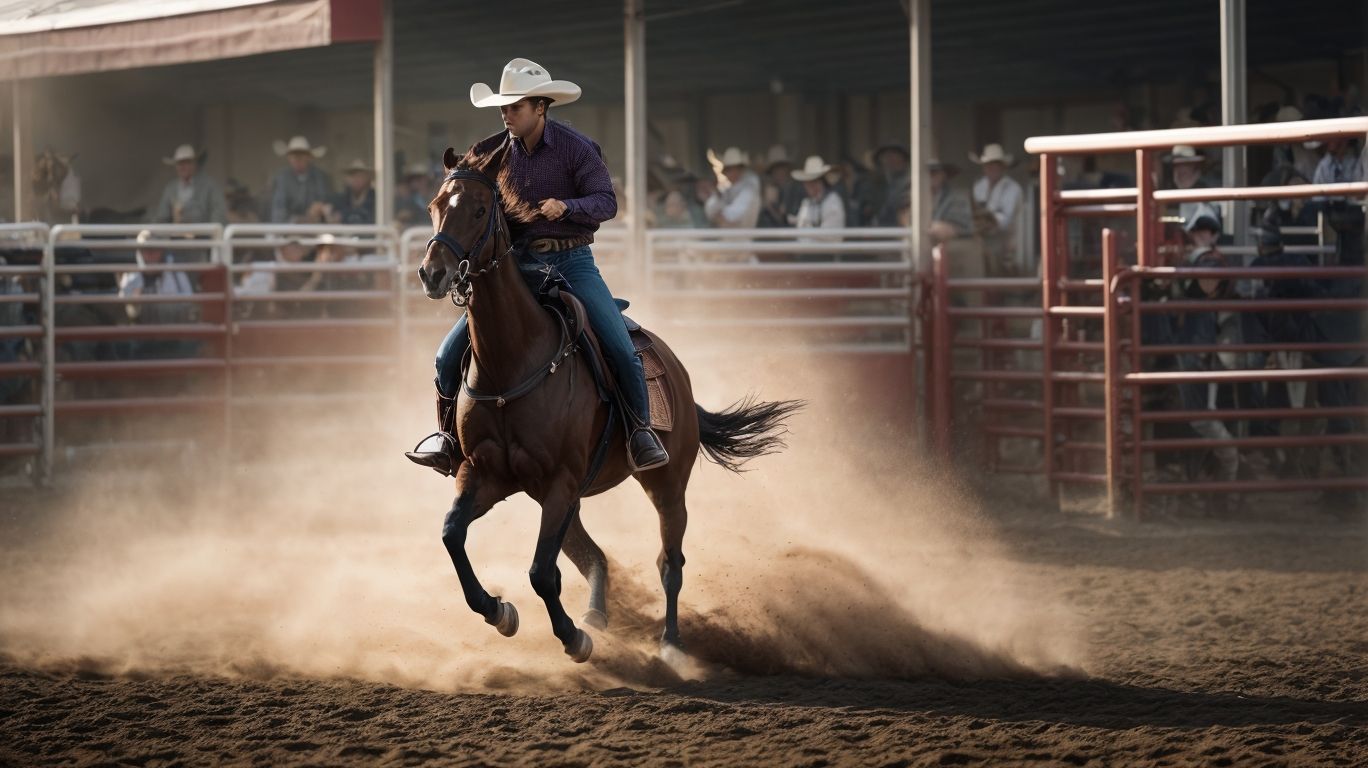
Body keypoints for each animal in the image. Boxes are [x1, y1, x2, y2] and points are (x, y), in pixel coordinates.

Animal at [415, 140, 802, 662]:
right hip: (560, 497)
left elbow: (541, 572)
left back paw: (670, 645)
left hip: (665, 484)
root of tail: (677, 372)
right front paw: (500, 612)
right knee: (595, 555)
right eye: (435, 206)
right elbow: (453, 535)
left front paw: (573, 640)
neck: (514, 359)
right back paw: (597, 614)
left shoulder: (559, 481)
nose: (432, 274)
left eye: (478, 210)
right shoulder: (484, 474)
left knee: (669, 562)